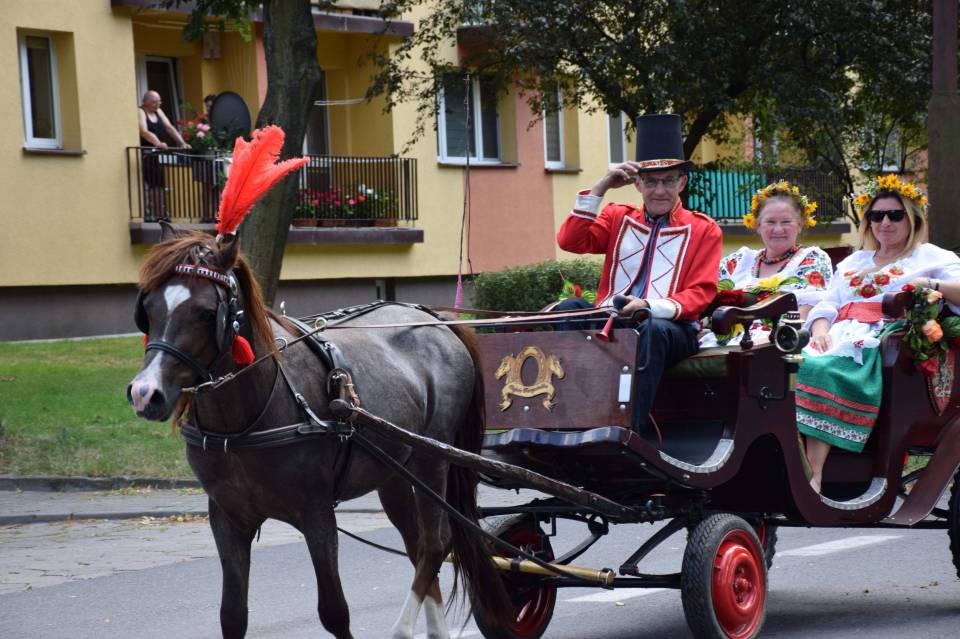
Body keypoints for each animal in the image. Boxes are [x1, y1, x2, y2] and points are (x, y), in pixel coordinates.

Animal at [126, 228, 508, 638]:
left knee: (435, 546)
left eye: (206, 313)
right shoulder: (227, 517)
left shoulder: (317, 513)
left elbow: (334, 611)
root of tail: (435, 319)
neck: (245, 422)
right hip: (393, 474)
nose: (145, 393)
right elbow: (233, 615)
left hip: (431, 460)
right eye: (148, 308)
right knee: (419, 546)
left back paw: (403, 628)